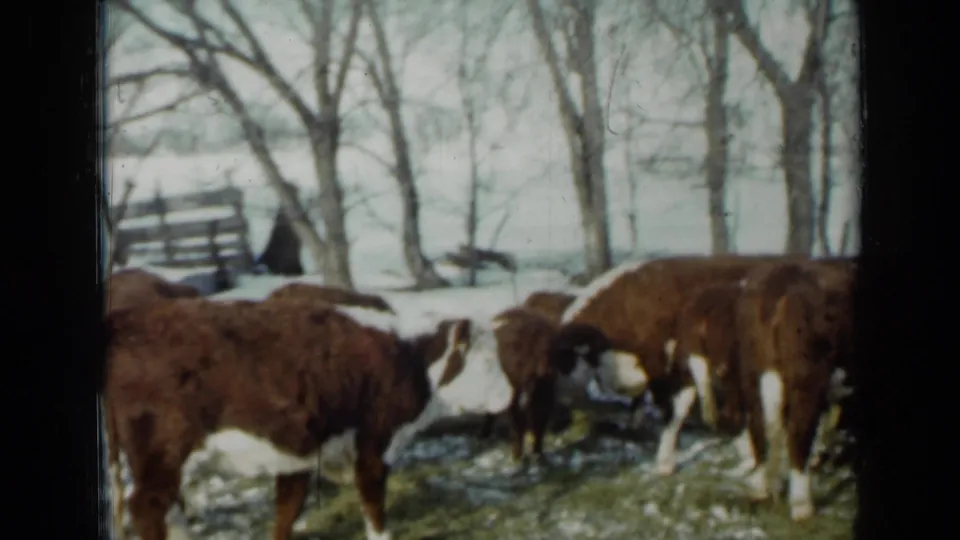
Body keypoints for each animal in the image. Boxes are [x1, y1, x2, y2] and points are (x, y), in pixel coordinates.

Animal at [103, 297, 514, 540]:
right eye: (486, 361)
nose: (509, 395)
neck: (407, 358)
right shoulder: (373, 443)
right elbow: (373, 506)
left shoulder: (298, 450)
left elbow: (287, 509)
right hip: (163, 454)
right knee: (148, 507)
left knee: (168, 508)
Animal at [476, 307, 613, 463]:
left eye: (591, 355)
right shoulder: (520, 393)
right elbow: (520, 424)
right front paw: (518, 456)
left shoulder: (545, 396)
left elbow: (539, 424)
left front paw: (537, 453)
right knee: (497, 412)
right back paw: (488, 436)